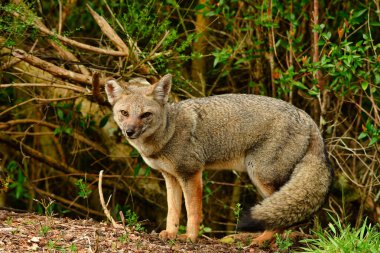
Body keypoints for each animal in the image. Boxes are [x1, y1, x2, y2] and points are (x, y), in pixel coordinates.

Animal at [104, 74, 332, 244]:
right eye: (124, 113)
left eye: (145, 115)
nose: (129, 132)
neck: (169, 132)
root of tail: (307, 118)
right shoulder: (170, 177)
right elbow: (173, 210)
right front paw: (171, 233)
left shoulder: (191, 173)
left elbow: (193, 211)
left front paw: (190, 237)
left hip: (261, 176)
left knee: (283, 217)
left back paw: (262, 240)